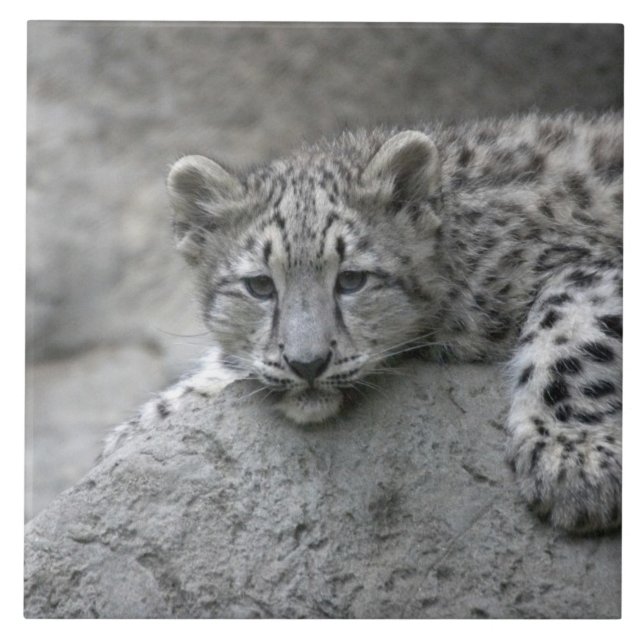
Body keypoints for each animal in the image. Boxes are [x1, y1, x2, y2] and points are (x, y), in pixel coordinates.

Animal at [103, 112, 623, 535]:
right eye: (260, 286)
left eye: (352, 279)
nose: (307, 364)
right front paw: (130, 435)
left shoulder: (588, 264)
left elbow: (572, 329)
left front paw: (575, 464)